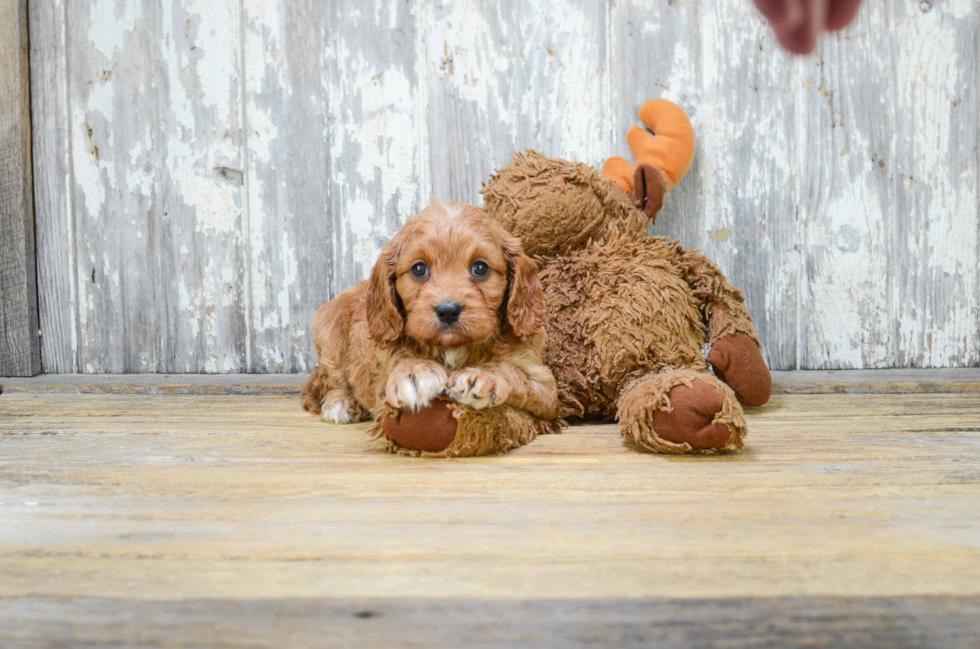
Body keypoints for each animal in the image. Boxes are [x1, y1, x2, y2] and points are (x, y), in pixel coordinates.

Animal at [298, 204, 560, 426]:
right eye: (419, 269)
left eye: (480, 267)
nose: (448, 310)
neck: (453, 348)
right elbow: (400, 361)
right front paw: (414, 374)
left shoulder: (543, 384)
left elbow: (510, 371)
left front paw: (482, 377)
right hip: (328, 329)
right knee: (331, 379)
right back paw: (341, 402)